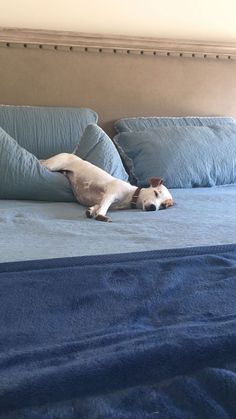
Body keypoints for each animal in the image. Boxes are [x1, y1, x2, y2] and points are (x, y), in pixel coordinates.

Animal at [40, 153, 173, 221]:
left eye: (163, 206)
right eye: (156, 193)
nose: (153, 207)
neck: (130, 195)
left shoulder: (102, 200)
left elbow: (97, 206)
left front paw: (91, 211)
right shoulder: (110, 195)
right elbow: (103, 208)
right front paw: (101, 216)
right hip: (50, 166)